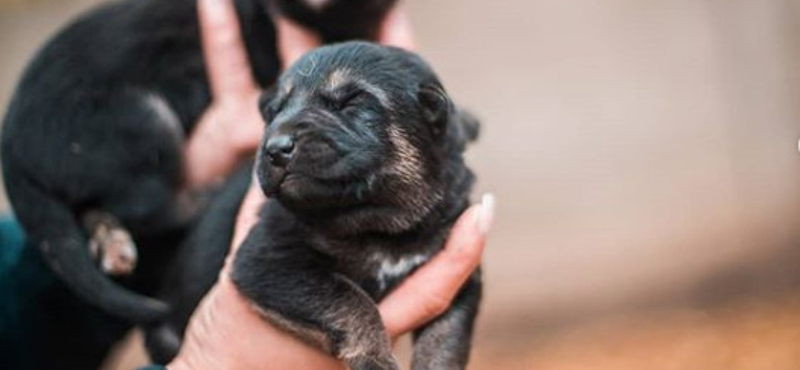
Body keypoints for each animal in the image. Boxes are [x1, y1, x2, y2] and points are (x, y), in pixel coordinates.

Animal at [148, 42, 482, 368]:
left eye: (350, 103)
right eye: (273, 112)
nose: (275, 148)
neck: (379, 222)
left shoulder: (459, 275)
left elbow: (445, 337)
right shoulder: (268, 261)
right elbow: (348, 298)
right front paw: (374, 359)